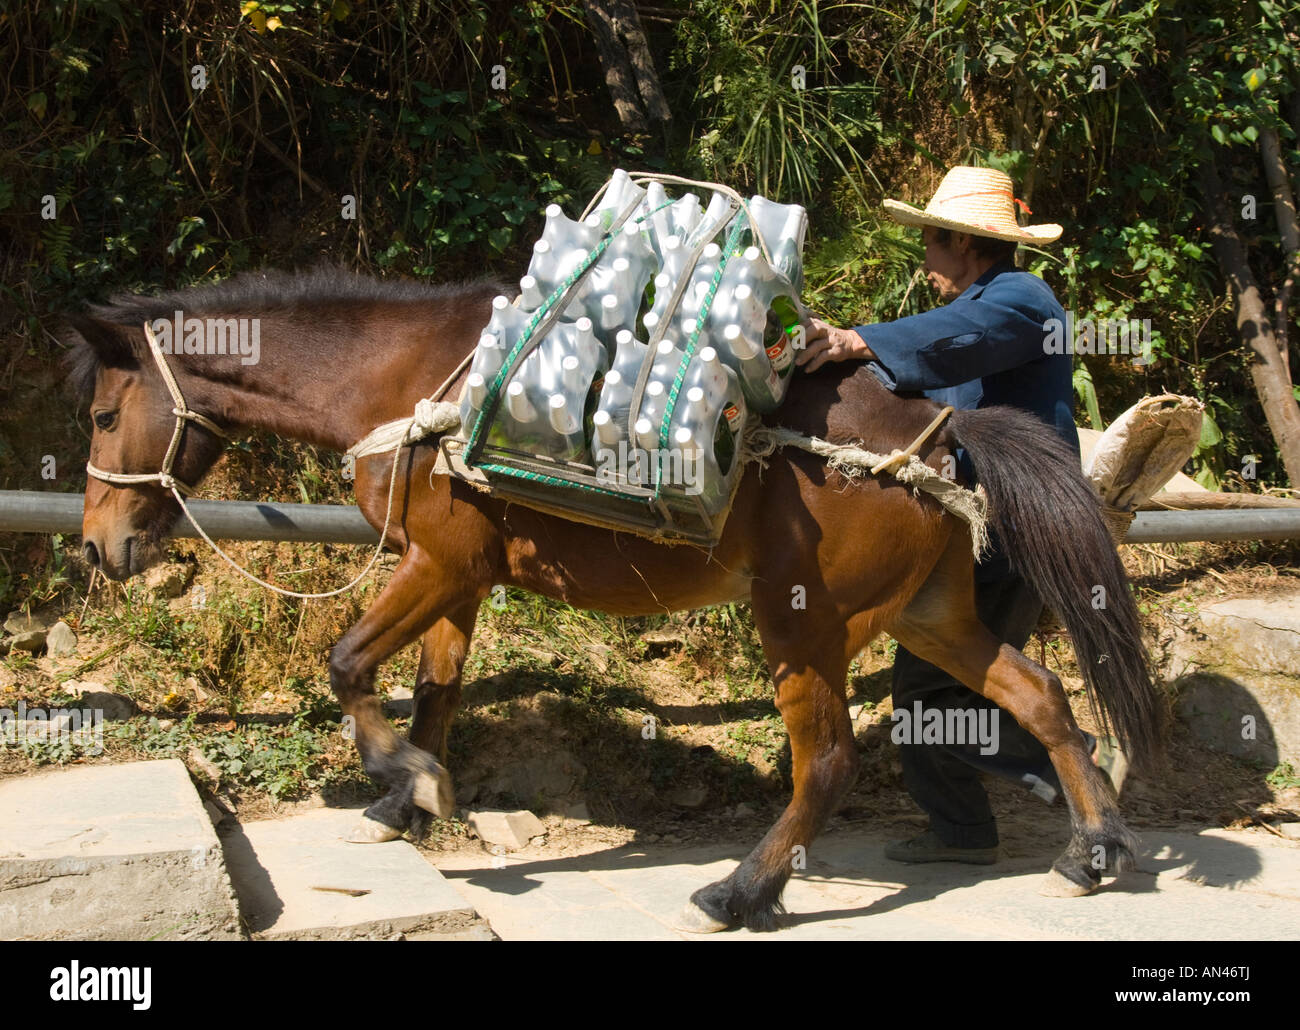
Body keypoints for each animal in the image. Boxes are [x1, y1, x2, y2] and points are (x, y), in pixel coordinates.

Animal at [65, 265, 1164, 933]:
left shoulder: (436, 564)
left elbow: (346, 664)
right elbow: (437, 692)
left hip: (801, 622)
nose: (97, 546)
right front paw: (404, 801)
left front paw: (400, 777)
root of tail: (934, 437)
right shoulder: (459, 574)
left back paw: (740, 889)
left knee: (829, 761)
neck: (407, 384)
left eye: (105, 414)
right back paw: (1096, 847)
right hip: (927, 614)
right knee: (1040, 697)